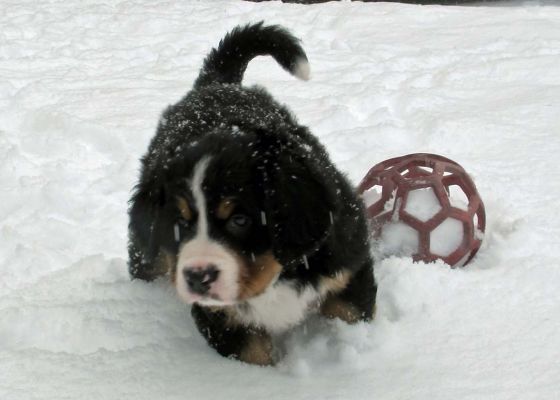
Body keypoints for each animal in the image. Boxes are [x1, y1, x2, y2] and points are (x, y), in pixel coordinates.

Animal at [128, 22, 376, 366]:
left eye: (240, 220)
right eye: (179, 222)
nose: (198, 277)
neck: (276, 277)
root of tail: (216, 84)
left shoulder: (348, 266)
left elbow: (350, 313)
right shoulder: (222, 319)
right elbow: (252, 353)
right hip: (148, 254)